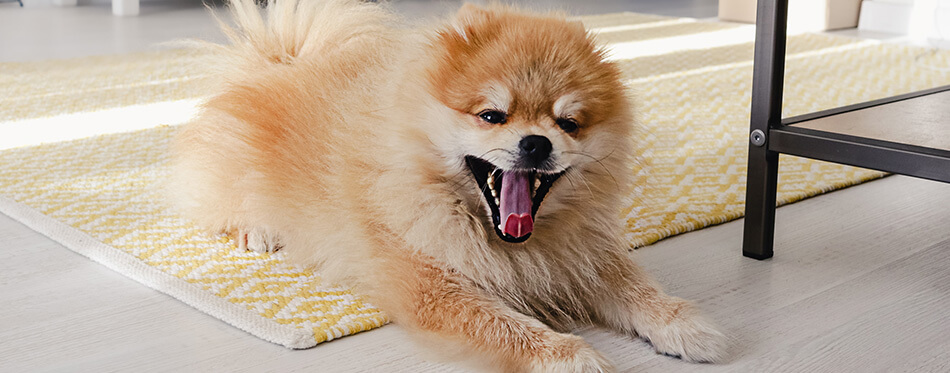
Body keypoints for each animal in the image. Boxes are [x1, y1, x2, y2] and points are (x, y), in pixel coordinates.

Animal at [171, 0, 728, 370]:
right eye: (491, 115)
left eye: (568, 124)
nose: (536, 143)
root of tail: (282, 61)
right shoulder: (433, 286)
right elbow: (509, 327)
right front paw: (574, 357)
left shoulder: (580, 254)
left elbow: (635, 287)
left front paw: (683, 325)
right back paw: (256, 229)